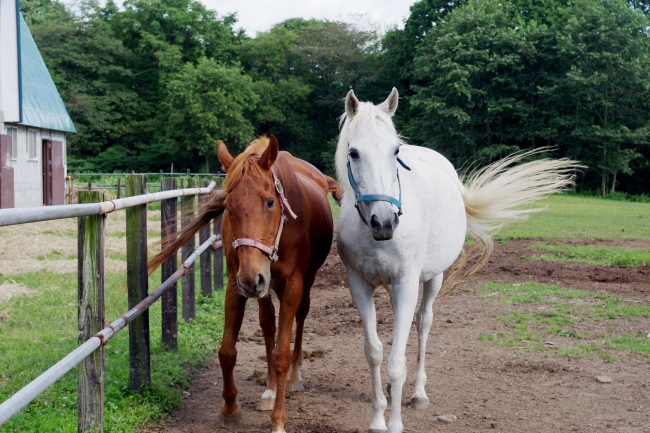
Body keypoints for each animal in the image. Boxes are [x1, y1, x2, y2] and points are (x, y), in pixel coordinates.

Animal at [149, 135, 332, 432]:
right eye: (228, 206)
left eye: (270, 202)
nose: (251, 277)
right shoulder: (236, 285)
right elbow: (227, 351)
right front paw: (230, 408)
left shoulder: (292, 285)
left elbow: (281, 353)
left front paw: (278, 420)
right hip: (262, 287)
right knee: (268, 325)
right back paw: (270, 389)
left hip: (301, 281)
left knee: (301, 317)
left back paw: (294, 377)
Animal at [334, 88, 576, 432]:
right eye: (353, 153)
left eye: (395, 151)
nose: (385, 222)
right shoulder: (359, 284)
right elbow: (374, 352)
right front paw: (379, 418)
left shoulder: (406, 283)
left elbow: (396, 361)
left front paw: (395, 423)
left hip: (432, 278)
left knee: (423, 322)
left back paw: (418, 393)